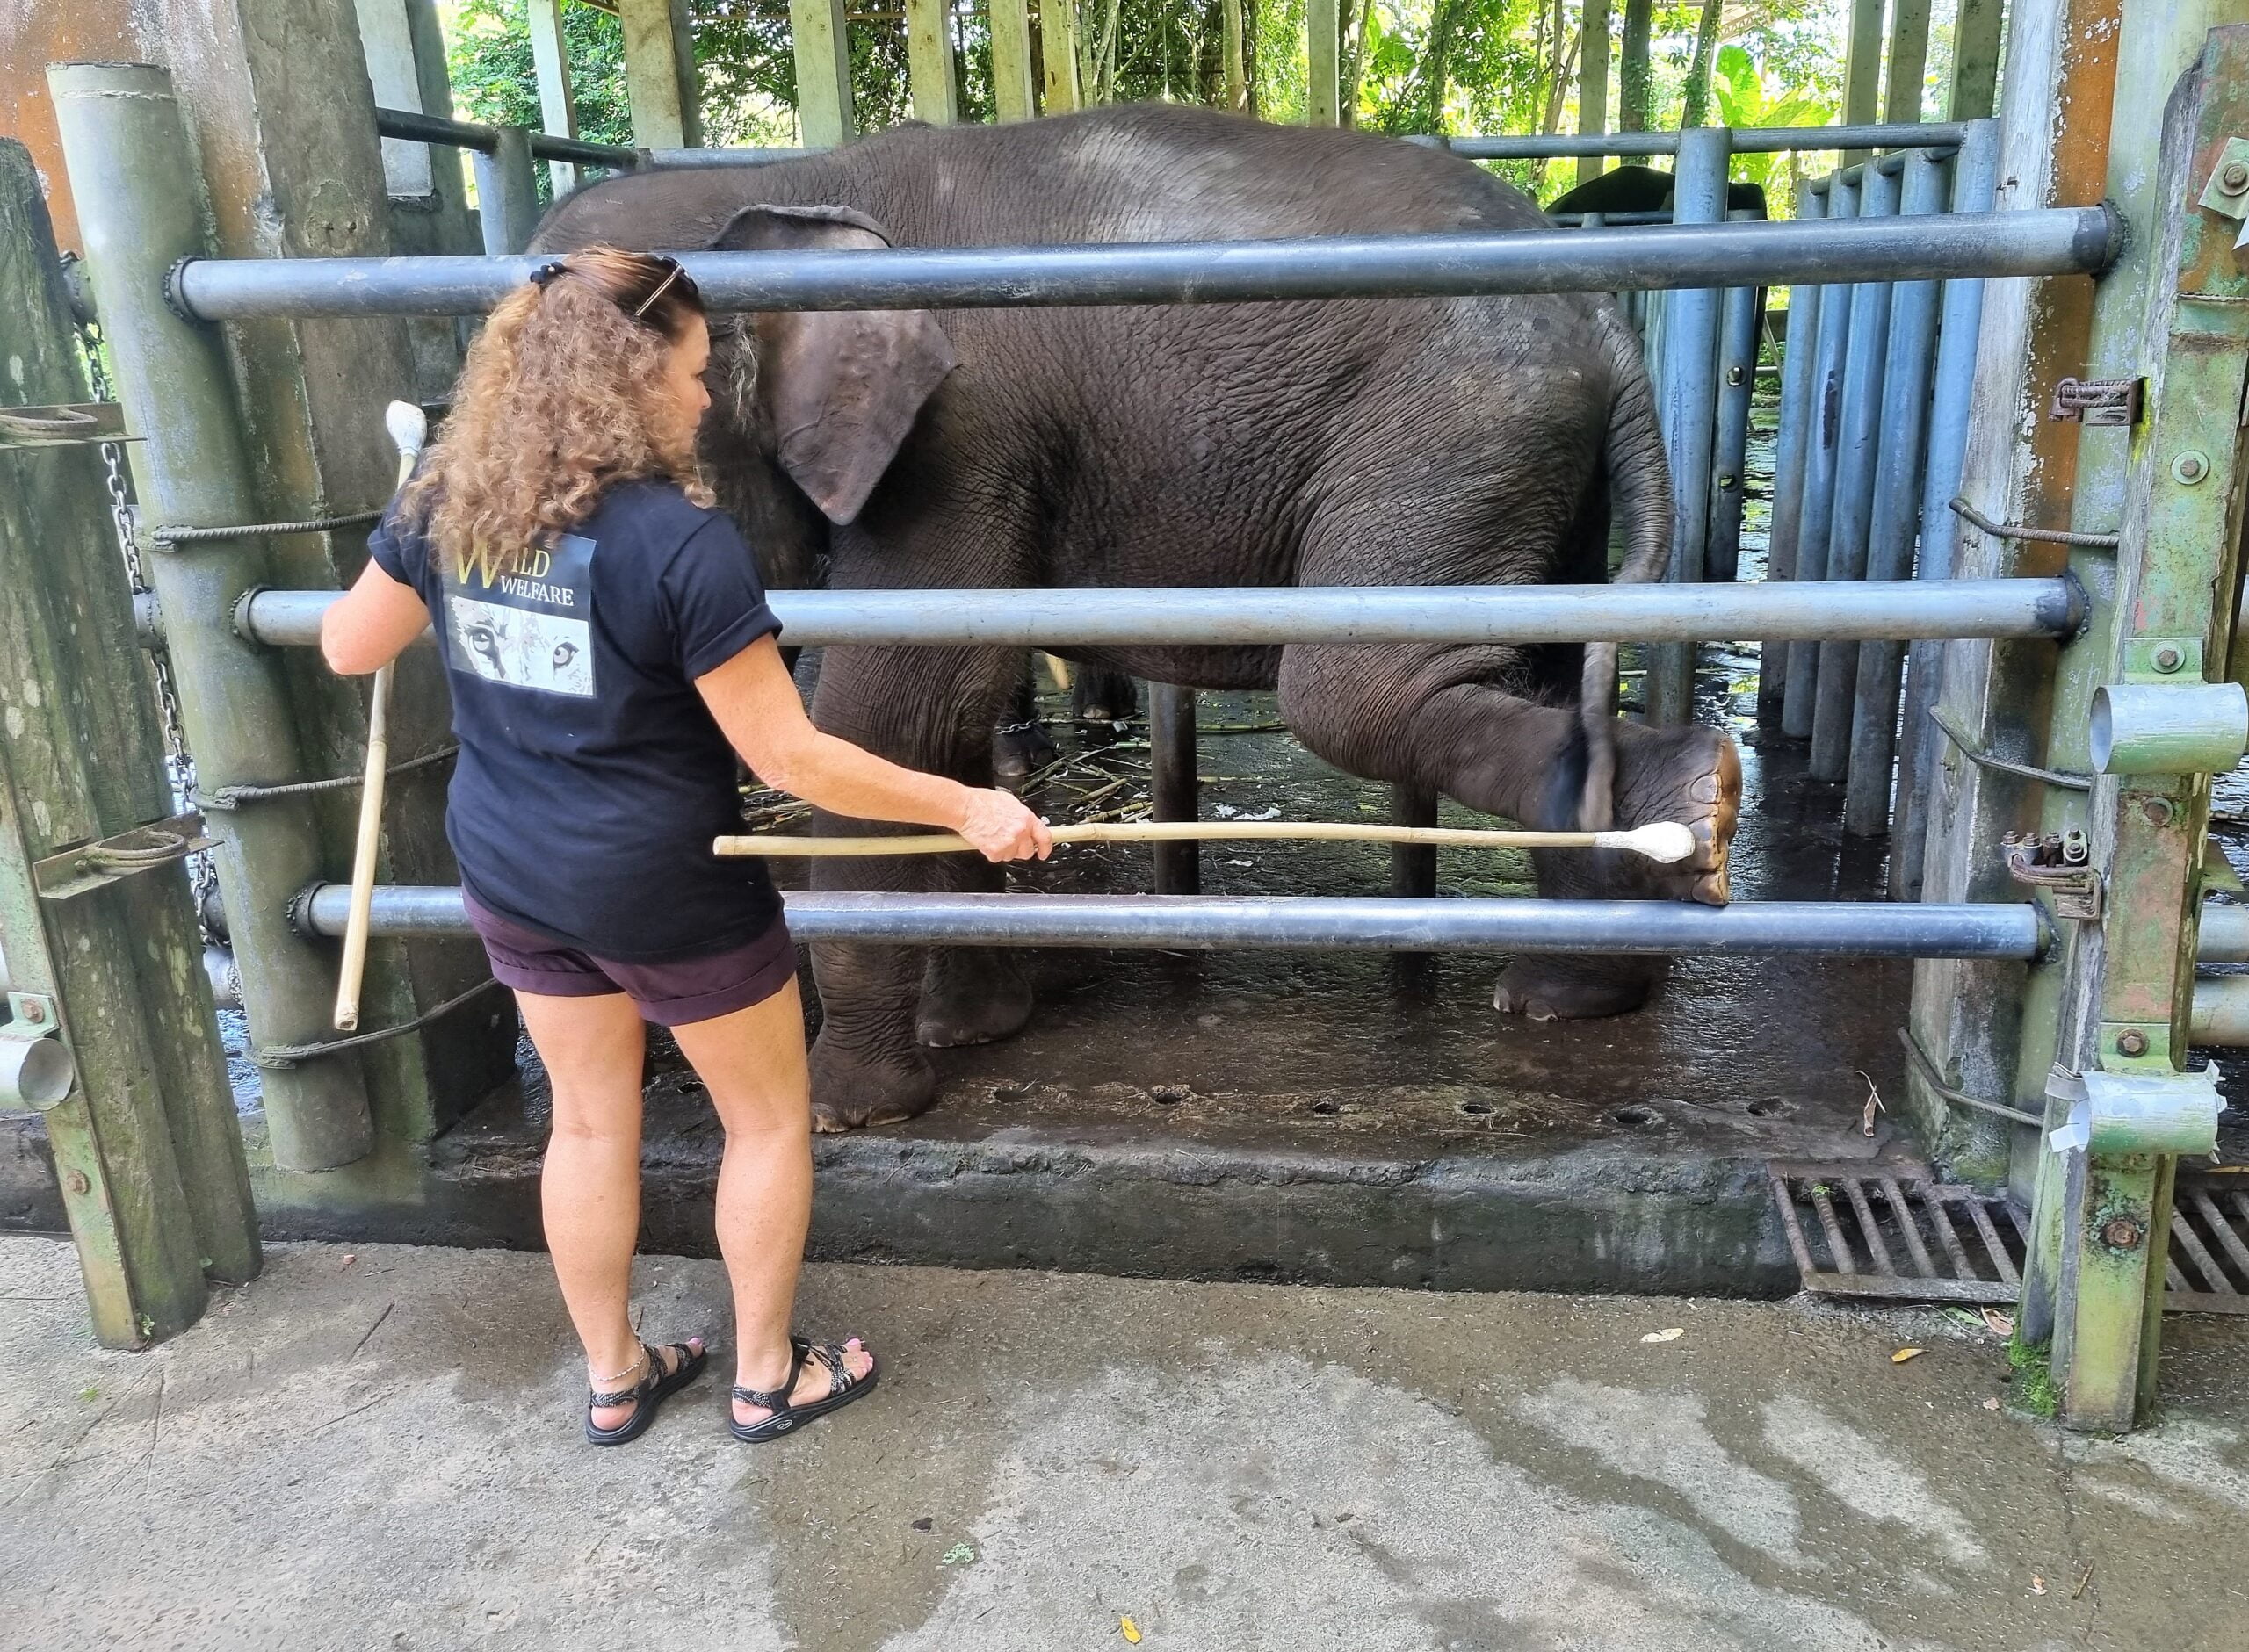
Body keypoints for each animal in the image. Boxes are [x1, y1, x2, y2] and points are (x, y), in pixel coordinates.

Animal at [530, 104, 1741, 1132]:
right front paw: (971, 1030)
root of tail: (1607, 326)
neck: (781, 181)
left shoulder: (956, 438)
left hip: (1457, 436)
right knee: (1539, 671)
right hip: (1526, 468)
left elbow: (884, 713)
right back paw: (1572, 989)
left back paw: (1694, 809)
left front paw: (847, 1112)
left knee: (1354, 691)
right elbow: (943, 715)